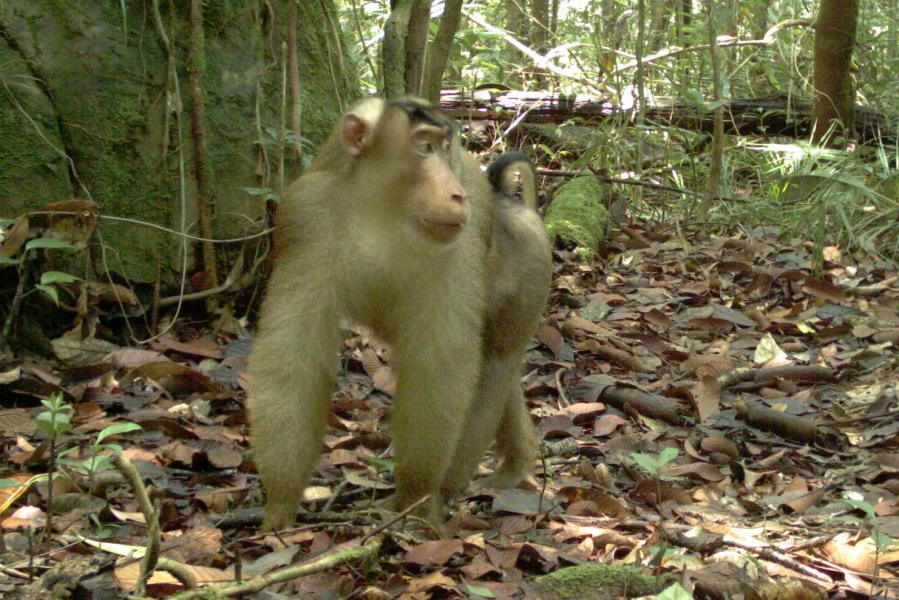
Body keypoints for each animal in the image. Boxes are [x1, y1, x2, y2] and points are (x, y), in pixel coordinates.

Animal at [247, 97, 552, 531]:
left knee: (495, 365)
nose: (457, 194)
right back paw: (515, 465)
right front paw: (280, 506)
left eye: (445, 147)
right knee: (499, 374)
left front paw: (417, 498)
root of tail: (510, 204)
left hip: (531, 275)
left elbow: (438, 367)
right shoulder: (306, 215)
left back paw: (460, 489)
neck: (384, 211)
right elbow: (293, 360)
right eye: (424, 147)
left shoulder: (463, 239)